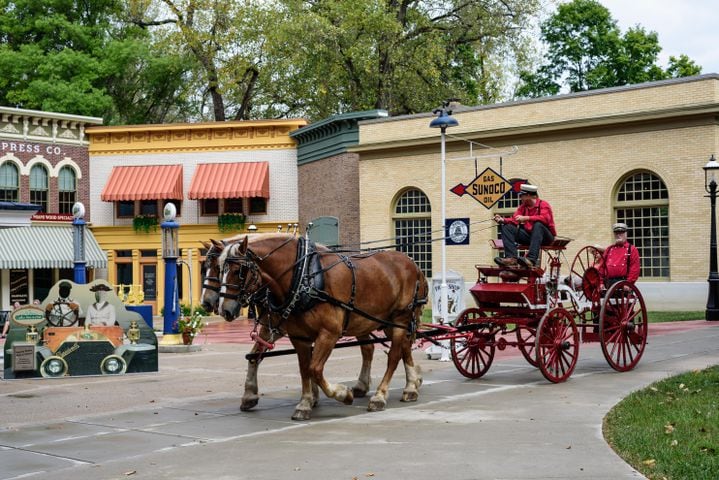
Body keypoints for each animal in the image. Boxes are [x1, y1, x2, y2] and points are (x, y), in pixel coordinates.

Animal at [200, 236, 374, 412]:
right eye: (210, 268)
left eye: (218, 268)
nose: (207, 303)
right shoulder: (274, 328)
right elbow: (255, 355)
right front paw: (250, 396)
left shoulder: (285, 328)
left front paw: (312, 397)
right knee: (368, 348)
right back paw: (362, 386)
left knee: (368, 348)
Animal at [219, 234, 428, 418]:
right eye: (219, 269)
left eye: (239, 271)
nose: (224, 309)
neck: (303, 276)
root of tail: (413, 263)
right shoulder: (299, 337)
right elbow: (304, 369)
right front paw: (305, 403)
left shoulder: (329, 333)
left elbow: (315, 369)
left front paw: (343, 394)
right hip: (385, 321)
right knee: (401, 348)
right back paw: (411, 385)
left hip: (400, 319)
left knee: (393, 356)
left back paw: (380, 395)